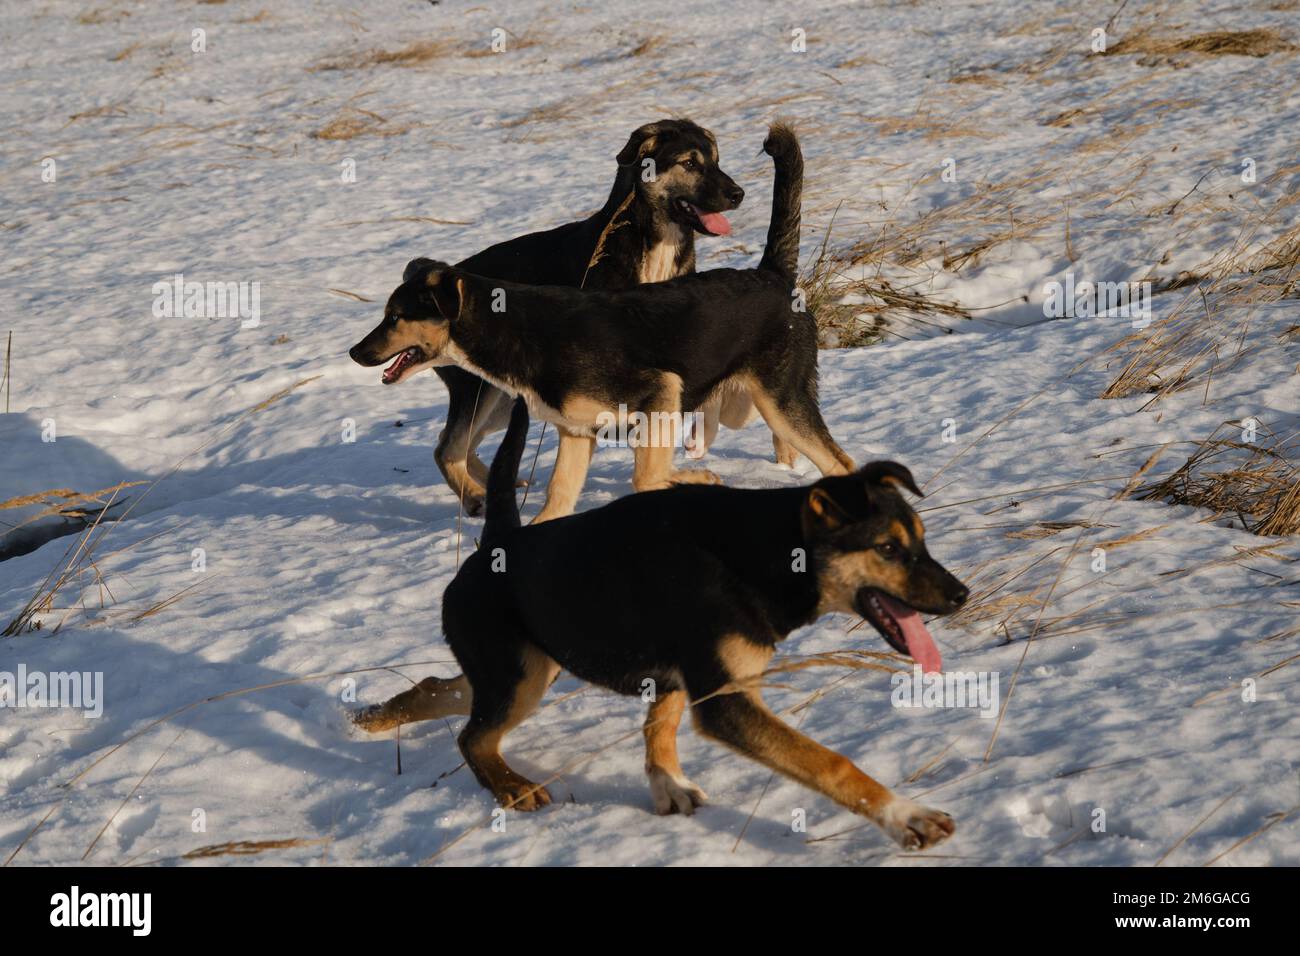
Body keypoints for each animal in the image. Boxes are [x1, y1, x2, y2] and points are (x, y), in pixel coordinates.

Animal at [405, 400, 967, 848]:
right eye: (888, 549)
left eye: (921, 540)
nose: (961, 595)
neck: (763, 553)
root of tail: (497, 545)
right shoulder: (724, 699)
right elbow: (830, 762)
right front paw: (906, 817)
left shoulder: (685, 672)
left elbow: (661, 724)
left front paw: (667, 784)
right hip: (521, 677)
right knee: (473, 739)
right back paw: (511, 786)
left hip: (535, 668)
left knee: (444, 696)